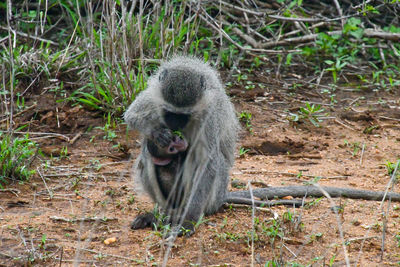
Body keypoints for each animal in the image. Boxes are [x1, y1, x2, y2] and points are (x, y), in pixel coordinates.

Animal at [123, 55, 239, 237]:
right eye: (168, 111)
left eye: (184, 115)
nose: (174, 125)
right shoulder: (152, 94)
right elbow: (131, 115)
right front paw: (158, 134)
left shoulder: (210, 114)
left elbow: (207, 162)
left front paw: (189, 220)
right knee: (146, 155)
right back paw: (162, 214)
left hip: (214, 198)